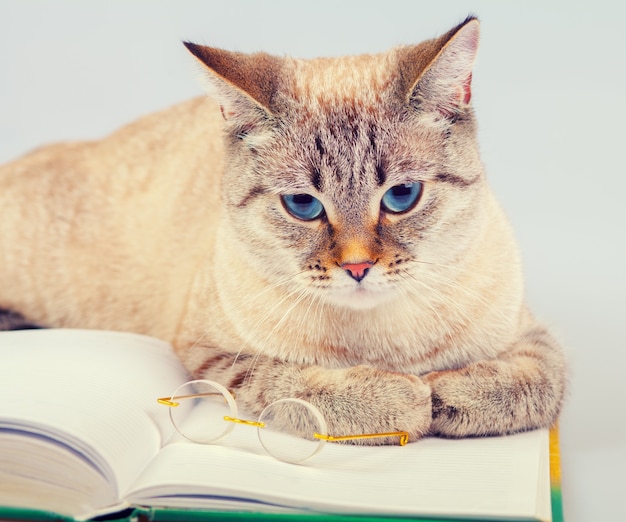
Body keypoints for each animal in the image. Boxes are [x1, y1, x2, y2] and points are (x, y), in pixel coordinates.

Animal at [0, 15, 564, 438]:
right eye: (302, 205)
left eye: (402, 196)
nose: (358, 267)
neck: (382, 341)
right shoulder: (212, 358)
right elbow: (296, 386)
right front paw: (403, 396)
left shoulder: (535, 336)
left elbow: (531, 386)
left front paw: (444, 391)